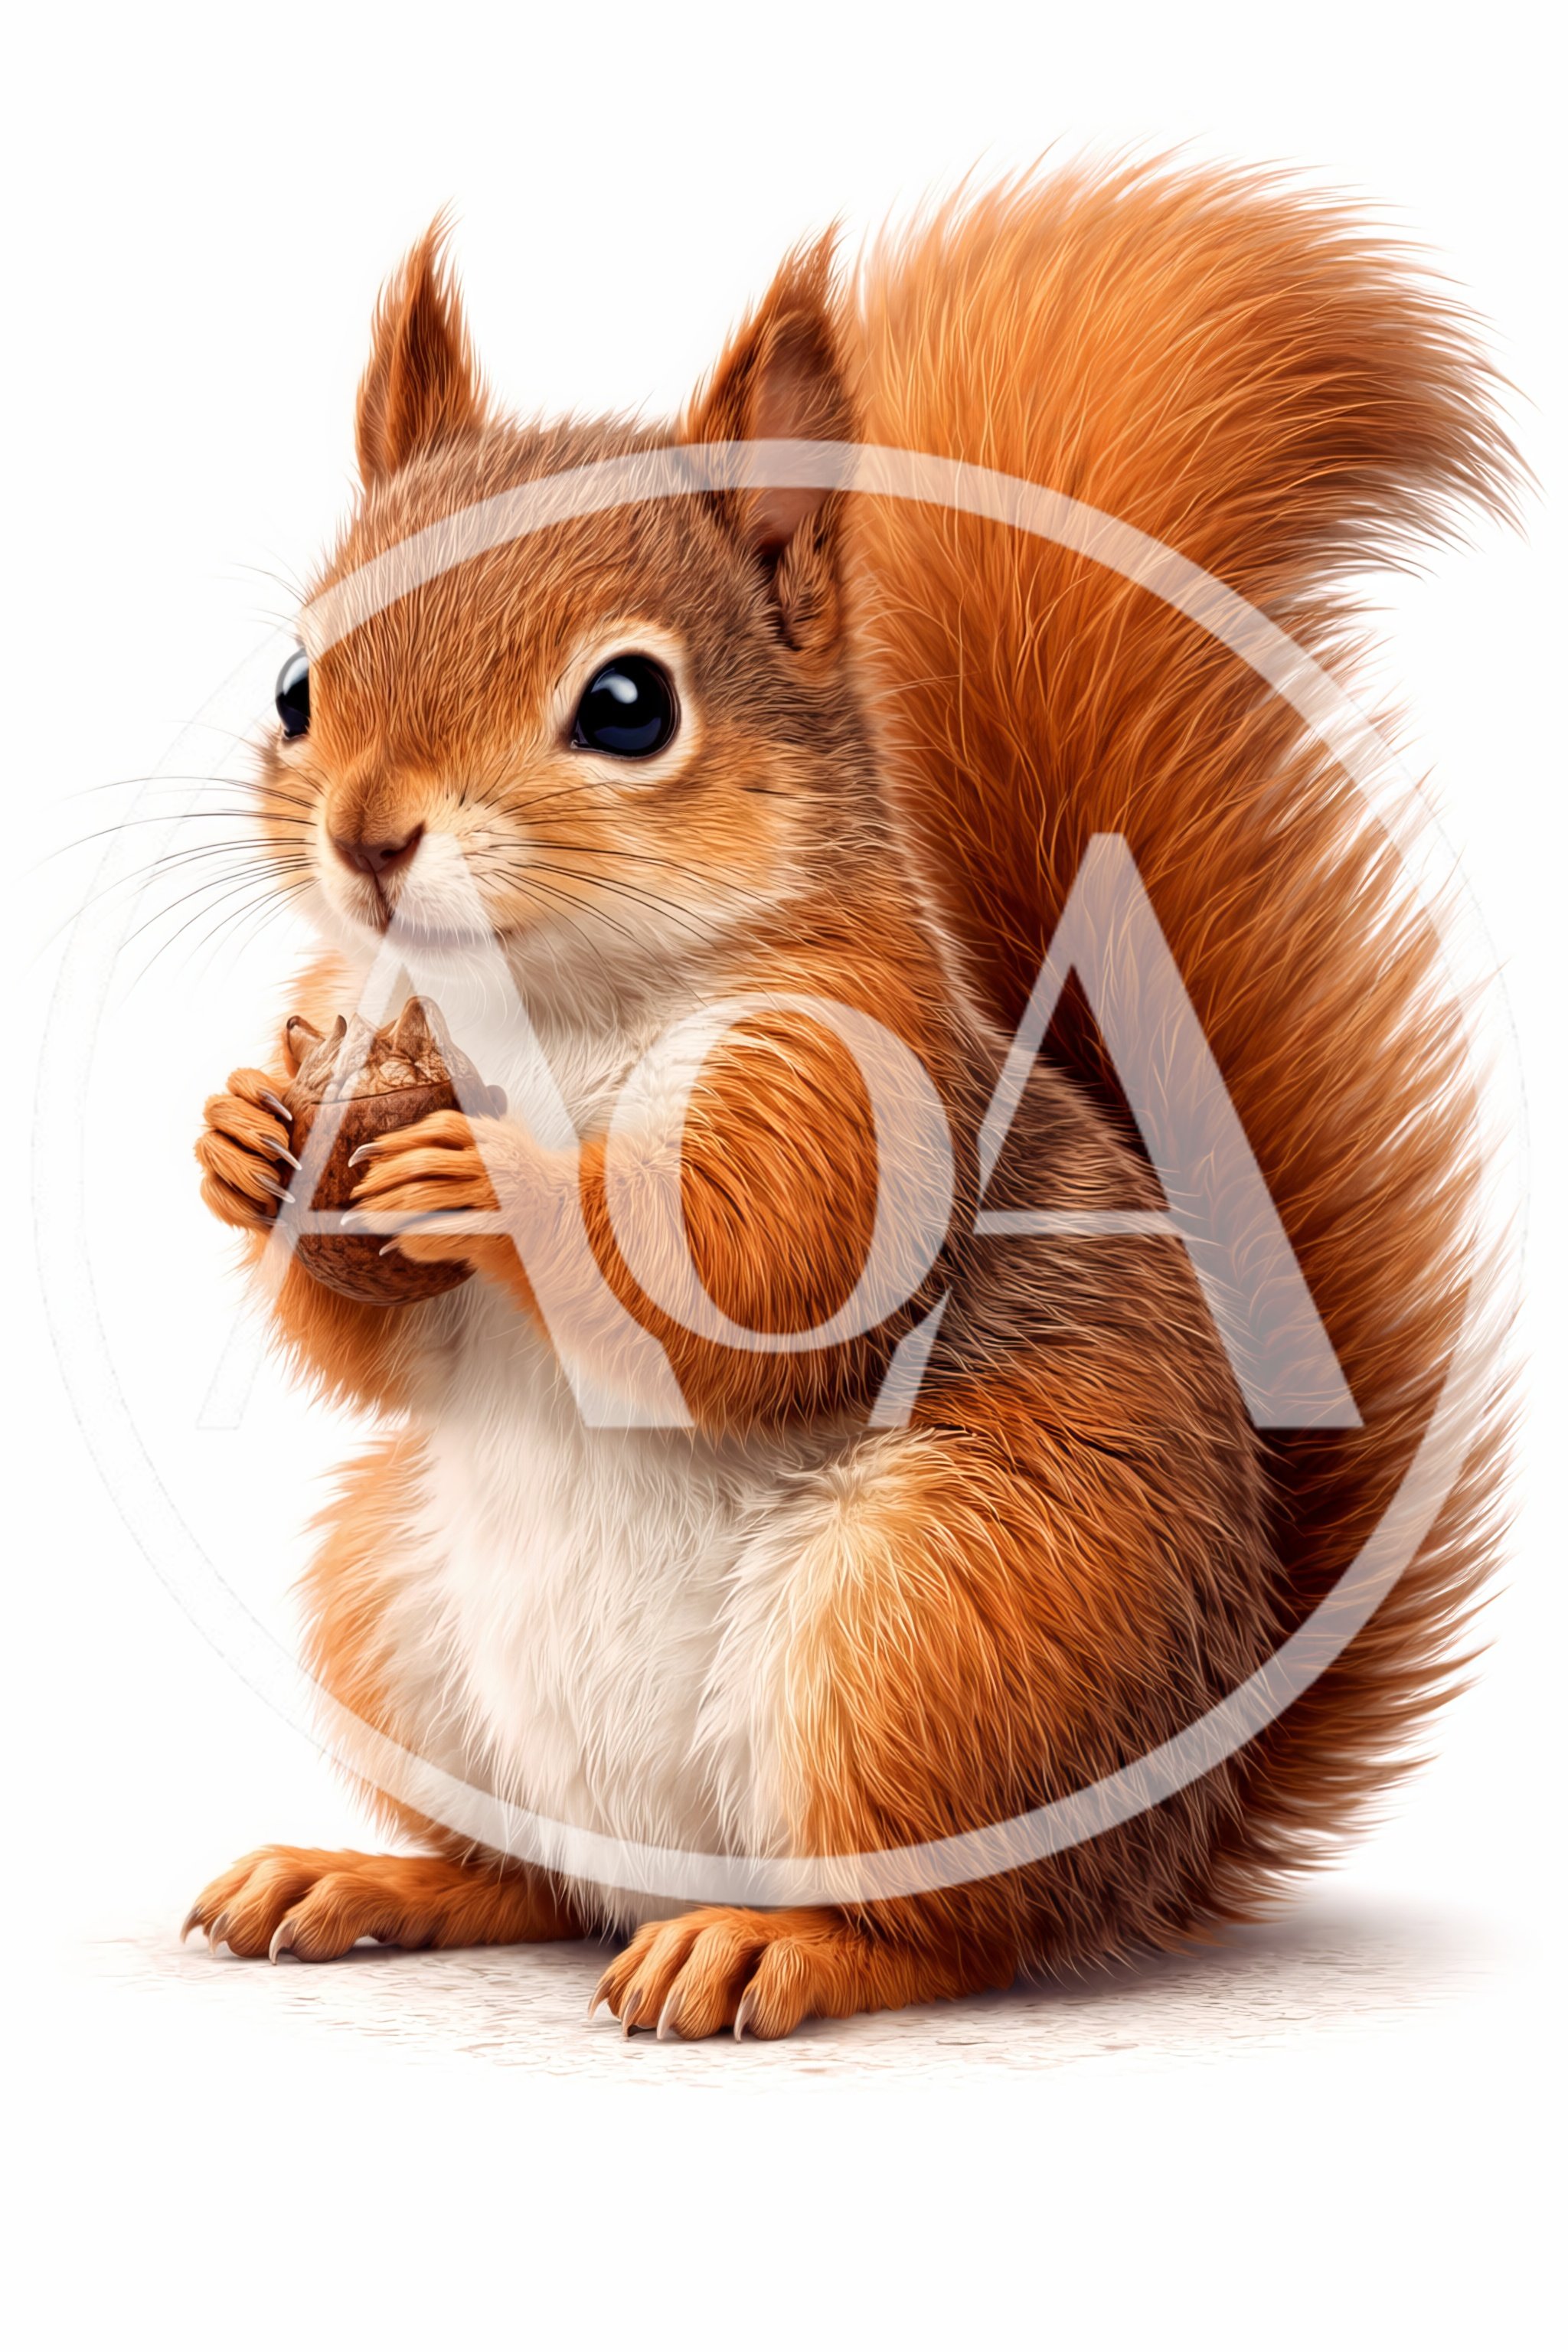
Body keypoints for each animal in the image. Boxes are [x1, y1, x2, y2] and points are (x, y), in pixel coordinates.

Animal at [184, 158, 1516, 2038]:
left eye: (627, 702)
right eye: (296, 684)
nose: (368, 837)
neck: (547, 1007)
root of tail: (1174, 1816)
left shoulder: (857, 1087)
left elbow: (754, 1279)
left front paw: (502, 1186)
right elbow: (375, 1350)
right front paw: (250, 1143)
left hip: (939, 1618)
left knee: (949, 1927)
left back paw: (775, 1946)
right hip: (396, 1605)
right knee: (535, 1884)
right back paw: (370, 1877)